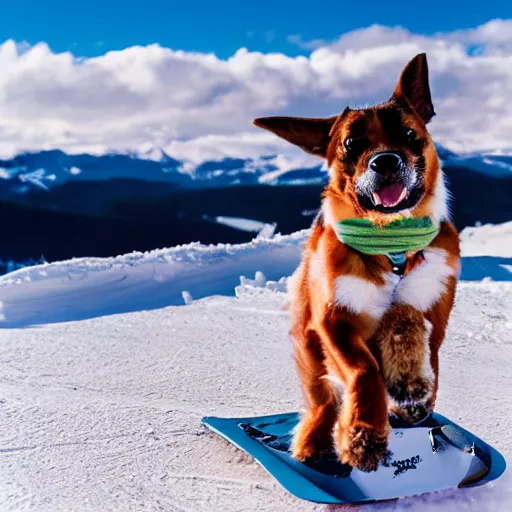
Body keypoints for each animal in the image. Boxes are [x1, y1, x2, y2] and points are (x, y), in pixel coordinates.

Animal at [254, 53, 462, 472]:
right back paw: (314, 442)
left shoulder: (434, 302)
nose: (386, 162)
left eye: (409, 133)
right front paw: (362, 435)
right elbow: (364, 371)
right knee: (323, 399)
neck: (392, 248)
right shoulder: (333, 318)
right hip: (308, 343)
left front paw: (410, 384)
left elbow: (409, 322)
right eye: (351, 142)